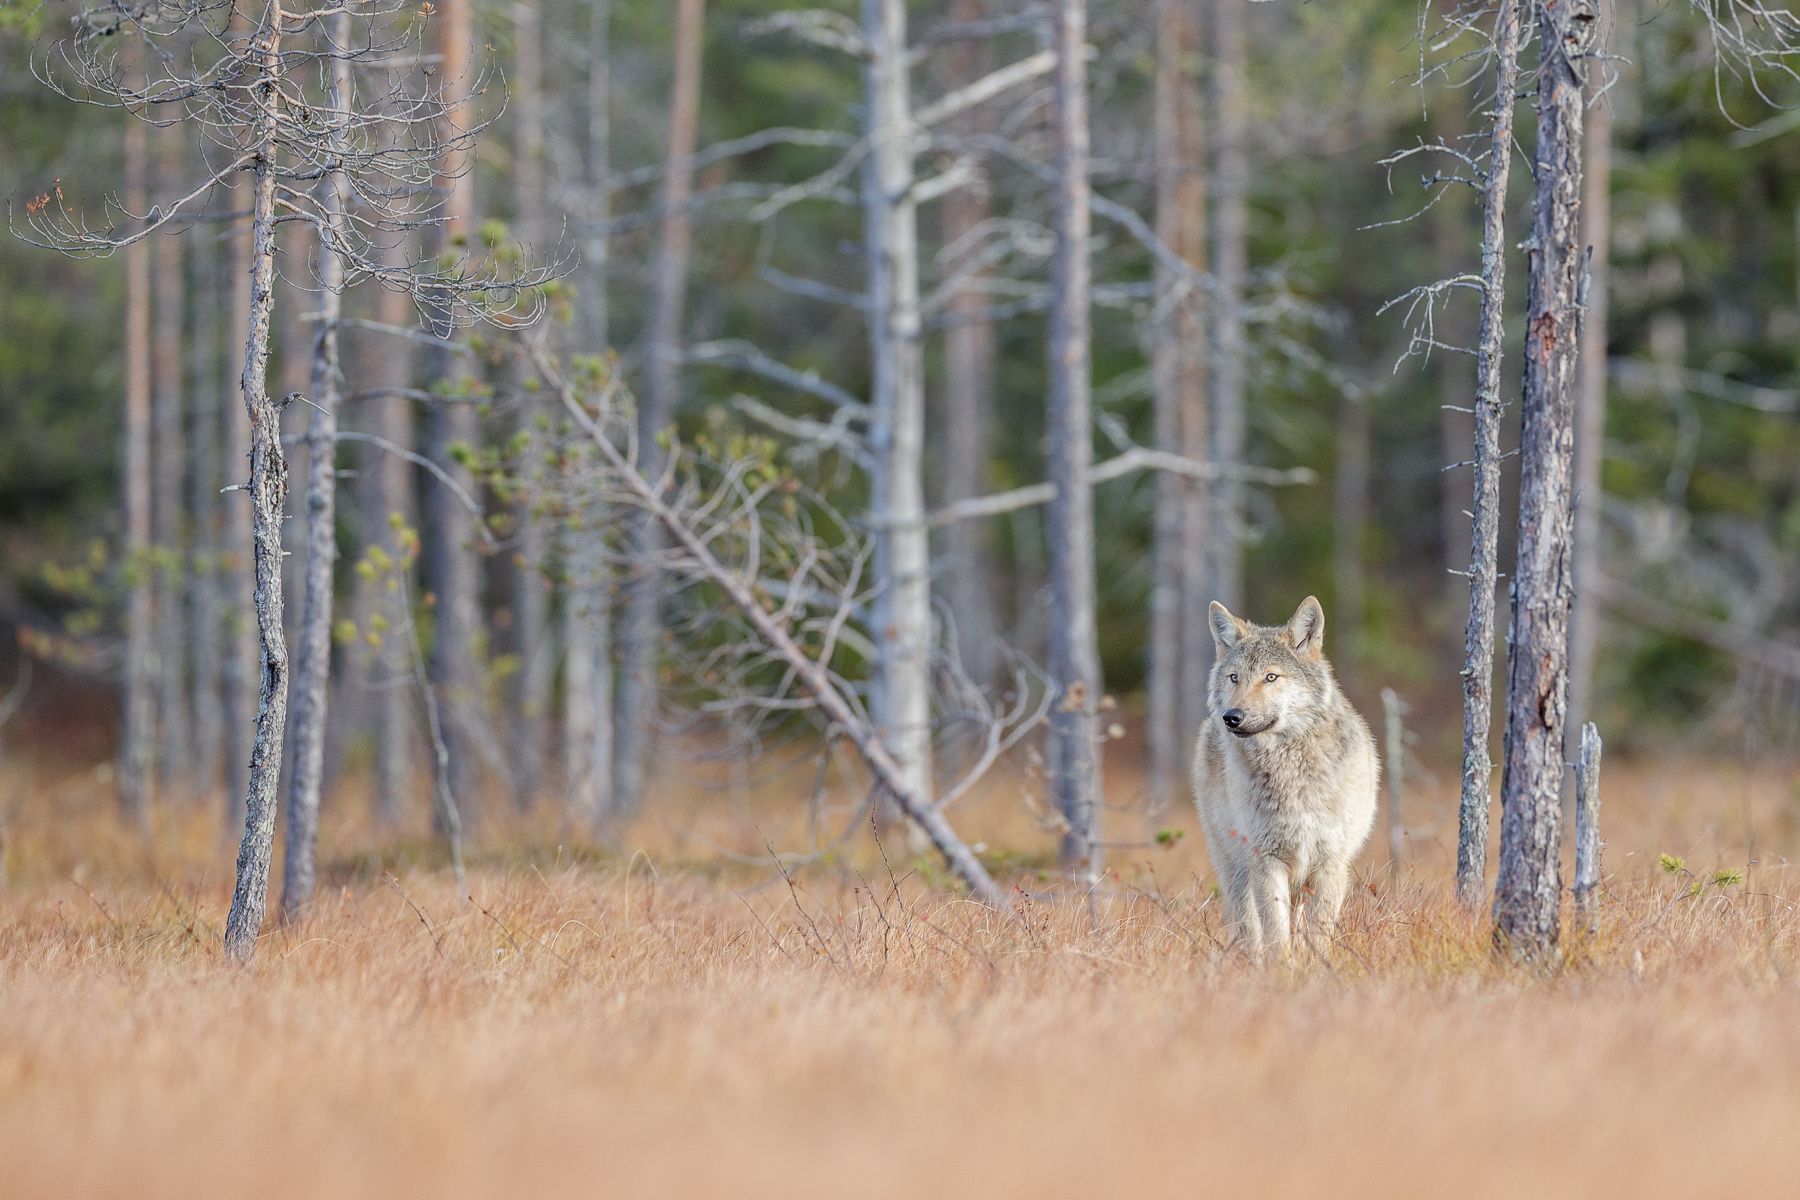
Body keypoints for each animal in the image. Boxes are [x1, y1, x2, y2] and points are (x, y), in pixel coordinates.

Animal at [1191, 596, 1378, 958]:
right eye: (1234, 677)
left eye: (1271, 677)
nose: (1231, 717)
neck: (1289, 772)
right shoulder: (1267, 861)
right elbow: (1277, 937)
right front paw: (1282, 971)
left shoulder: (1330, 864)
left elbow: (1318, 935)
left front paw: (1317, 967)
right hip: (1236, 868)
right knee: (1249, 930)